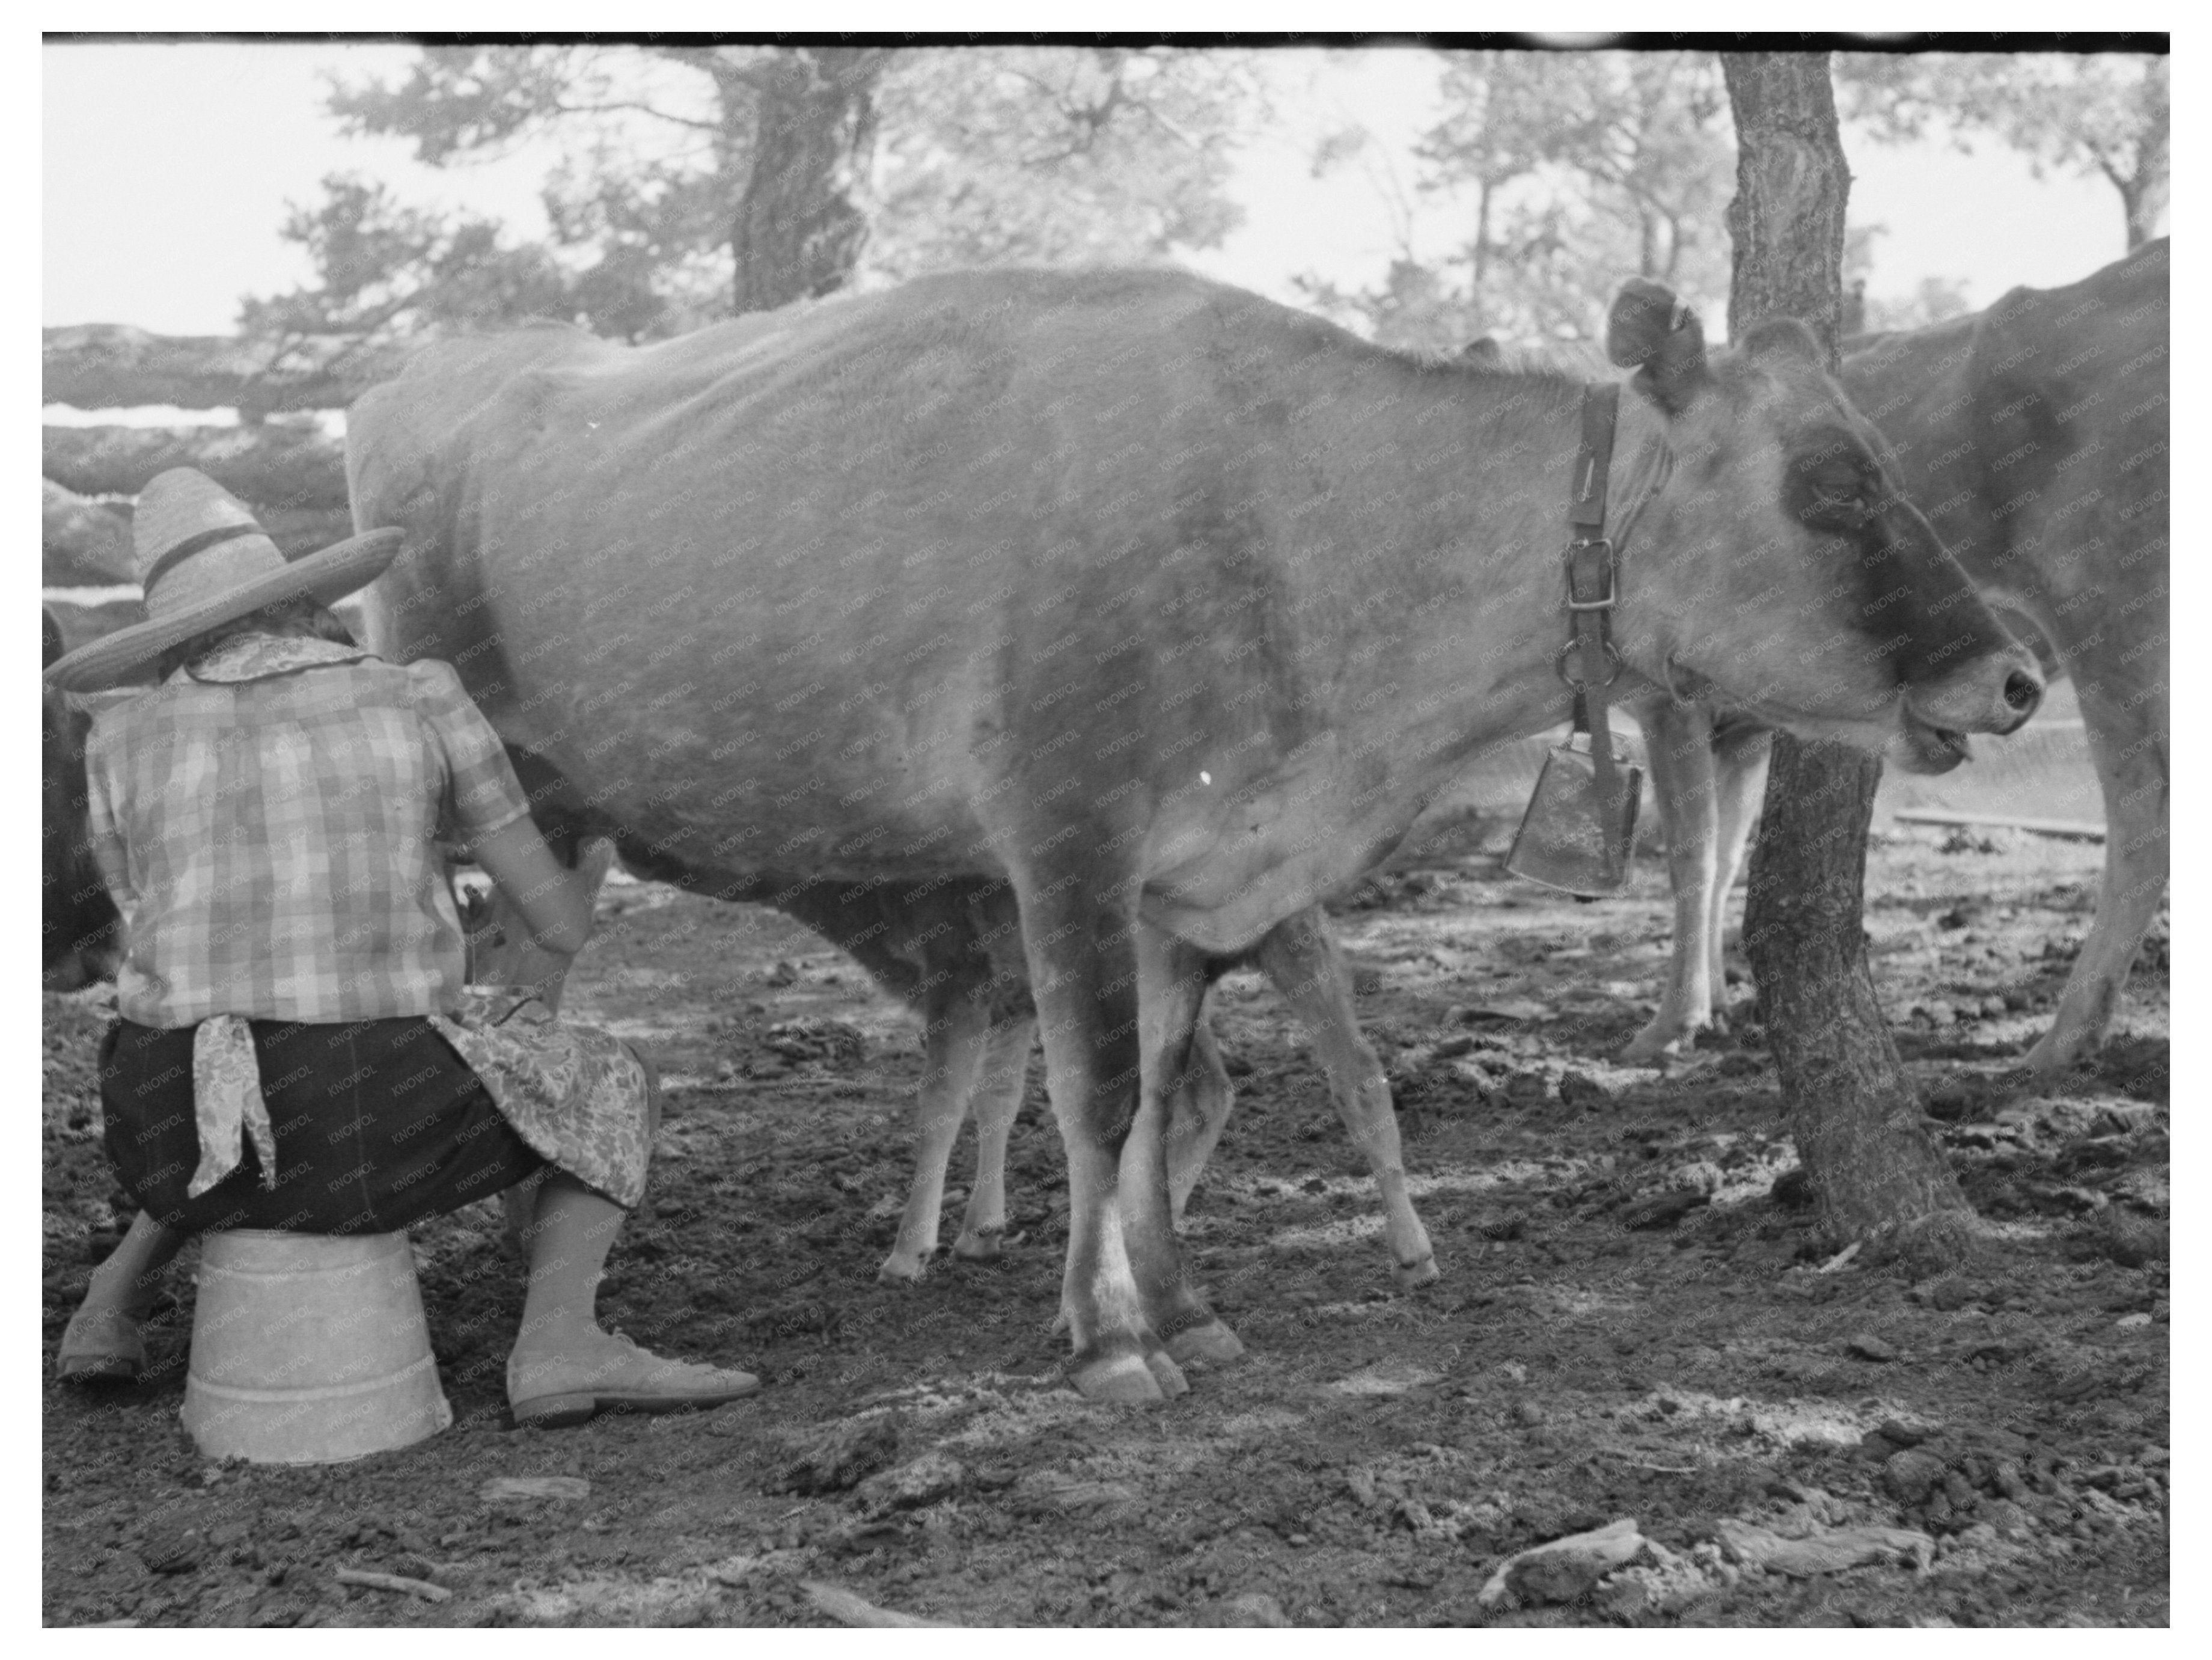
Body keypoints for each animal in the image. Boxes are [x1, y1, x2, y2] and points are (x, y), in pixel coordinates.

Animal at [349, 270, 2053, 1407]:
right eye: (1830, 483)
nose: (2016, 677)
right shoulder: (1067, 838)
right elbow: (1099, 1097)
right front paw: (1109, 1343)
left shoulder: (1192, 878)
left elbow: (1165, 1093)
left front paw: (1179, 1310)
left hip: (557, 829)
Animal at [1619, 240, 2168, 1071]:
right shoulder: (1735, 721)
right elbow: (1728, 851)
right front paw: (1714, 1001)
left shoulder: (1666, 694)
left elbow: (1691, 853)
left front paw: (1671, 1023)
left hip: (2109, 621)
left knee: (2142, 818)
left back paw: (2064, 1036)